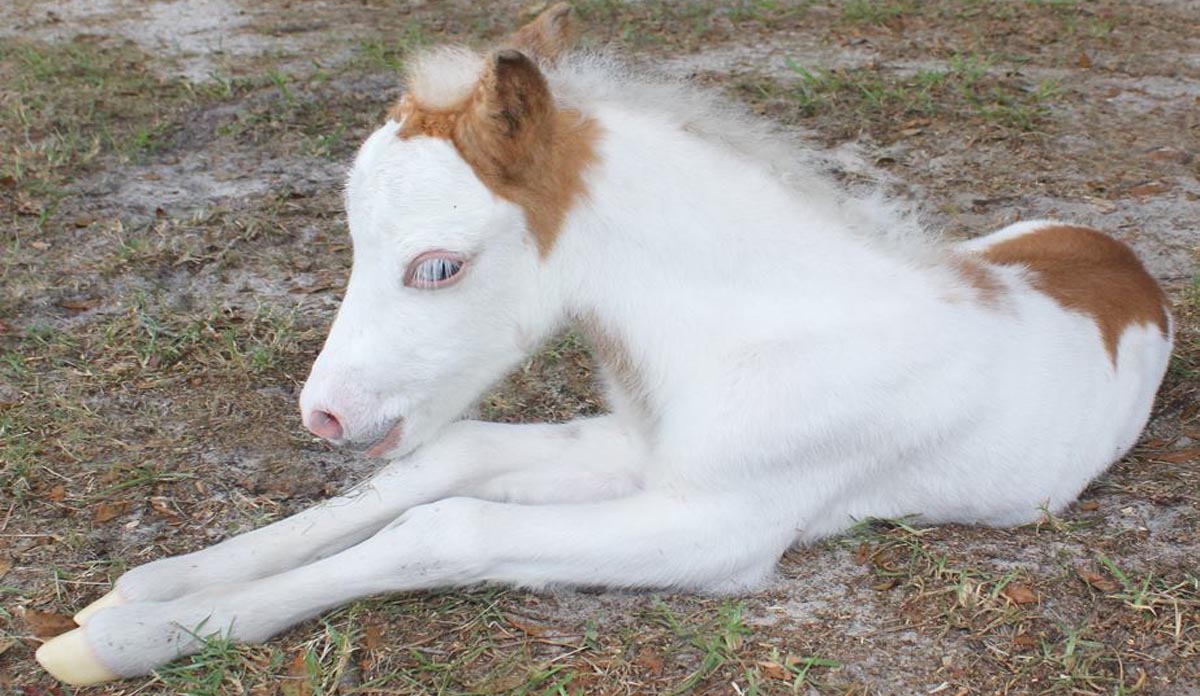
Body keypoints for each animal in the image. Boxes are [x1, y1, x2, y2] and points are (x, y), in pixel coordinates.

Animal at [39, 1, 1171, 686]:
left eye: (439, 266)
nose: (324, 415)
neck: (761, 332)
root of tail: (1123, 260)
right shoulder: (638, 448)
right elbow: (446, 466)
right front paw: (158, 588)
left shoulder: (717, 527)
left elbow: (449, 527)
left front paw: (129, 639)